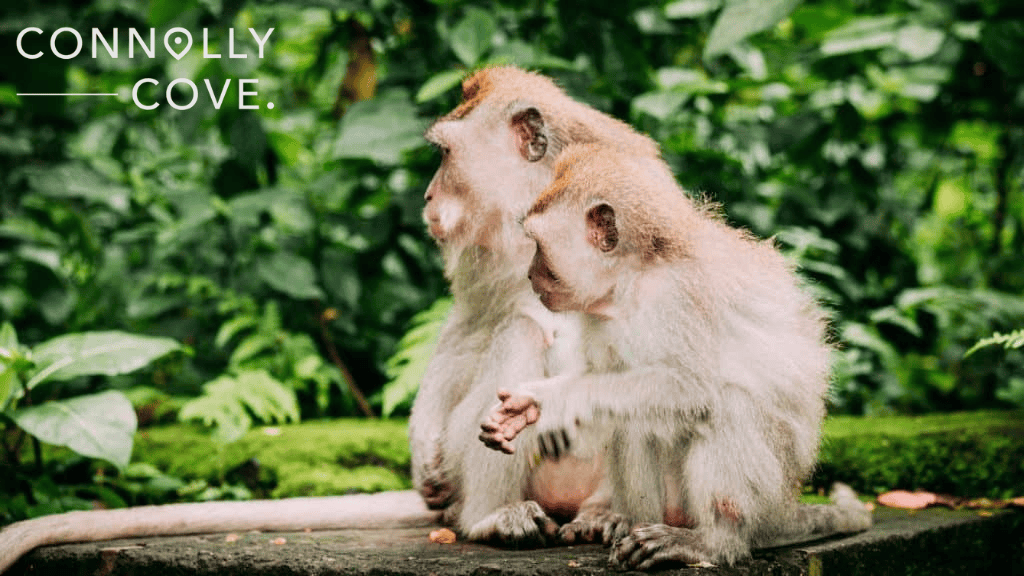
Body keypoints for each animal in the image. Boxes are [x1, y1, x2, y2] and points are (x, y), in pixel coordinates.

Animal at [408, 66, 663, 544]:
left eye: (446, 155)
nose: (429, 197)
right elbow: (472, 323)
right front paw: (423, 448)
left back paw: (603, 515)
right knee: (520, 333)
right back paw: (492, 516)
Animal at [479, 143, 872, 569]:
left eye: (538, 246)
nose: (530, 274)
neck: (632, 281)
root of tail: (784, 509)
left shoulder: (678, 296)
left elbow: (692, 389)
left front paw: (552, 399)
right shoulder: (601, 317)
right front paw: (527, 408)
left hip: (767, 494)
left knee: (724, 403)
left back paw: (713, 542)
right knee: (631, 417)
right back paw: (629, 524)